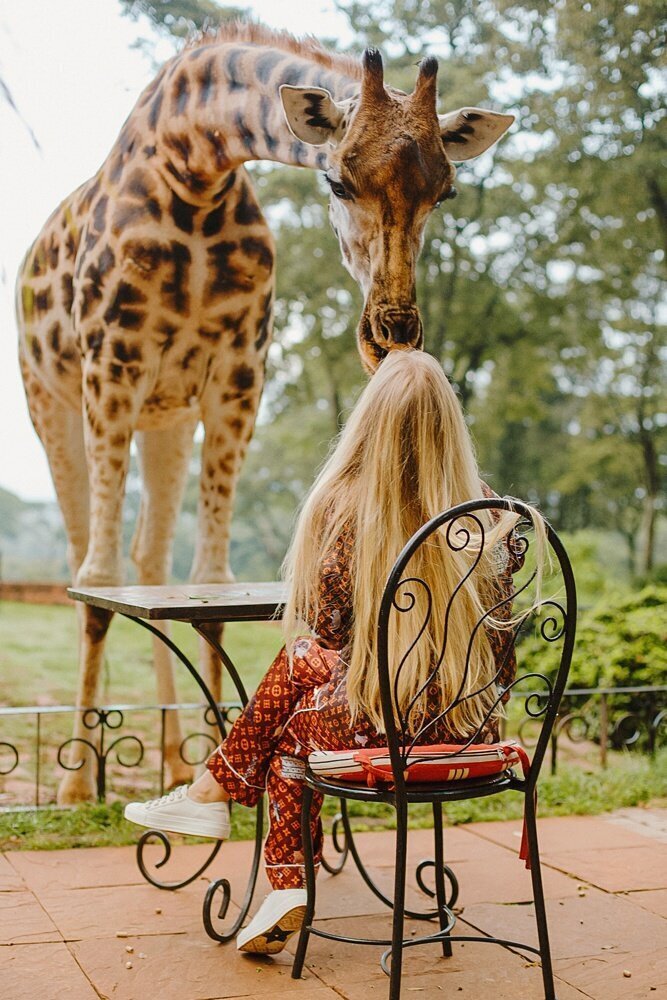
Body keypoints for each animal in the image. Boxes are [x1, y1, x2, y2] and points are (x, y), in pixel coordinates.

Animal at [17, 25, 516, 804]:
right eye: (337, 181)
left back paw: (166, 758)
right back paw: (88, 776)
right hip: (54, 404)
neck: (195, 169)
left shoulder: (237, 377)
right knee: (86, 564)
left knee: (149, 559)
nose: (393, 332)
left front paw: (192, 755)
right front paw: (73, 790)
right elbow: (97, 582)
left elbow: (209, 584)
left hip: (166, 420)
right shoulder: (112, 366)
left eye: (446, 191)